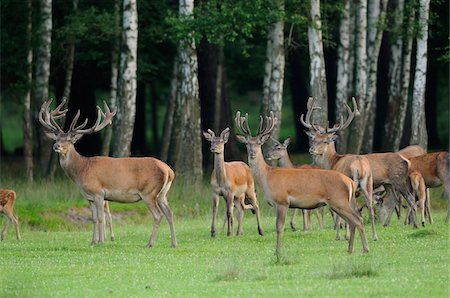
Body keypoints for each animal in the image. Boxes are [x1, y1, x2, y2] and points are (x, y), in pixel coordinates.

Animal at [38, 99, 176, 247]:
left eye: (70, 140)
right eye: (56, 138)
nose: (56, 146)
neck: (82, 170)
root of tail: (169, 171)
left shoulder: (98, 192)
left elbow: (100, 217)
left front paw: (100, 241)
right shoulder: (89, 197)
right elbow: (93, 218)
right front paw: (93, 241)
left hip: (149, 192)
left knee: (158, 215)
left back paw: (150, 243)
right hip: (162, 194)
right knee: (169, 213)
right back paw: (173, 243)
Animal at [234, 110, 368, 255]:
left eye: (259, 142)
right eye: (247, 143)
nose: (252, 153)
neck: (267, 177)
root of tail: (350, 182)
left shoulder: (282, 201)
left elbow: (279, 227)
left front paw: (278, 252)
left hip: (339, 201)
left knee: (358, 219)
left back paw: (365, 248)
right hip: (340, 203)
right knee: (353, 220)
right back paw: (350, 249)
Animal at [300, 98, 378, 240]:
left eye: (325, 141)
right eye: (314, 139)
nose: (311, 149)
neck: (332, 162)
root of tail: (360, 167)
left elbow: (336, 214)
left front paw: (339, 235)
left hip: (350, 185)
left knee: (352, 211)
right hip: (369, 182)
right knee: (370, 207)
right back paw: (375, 236)